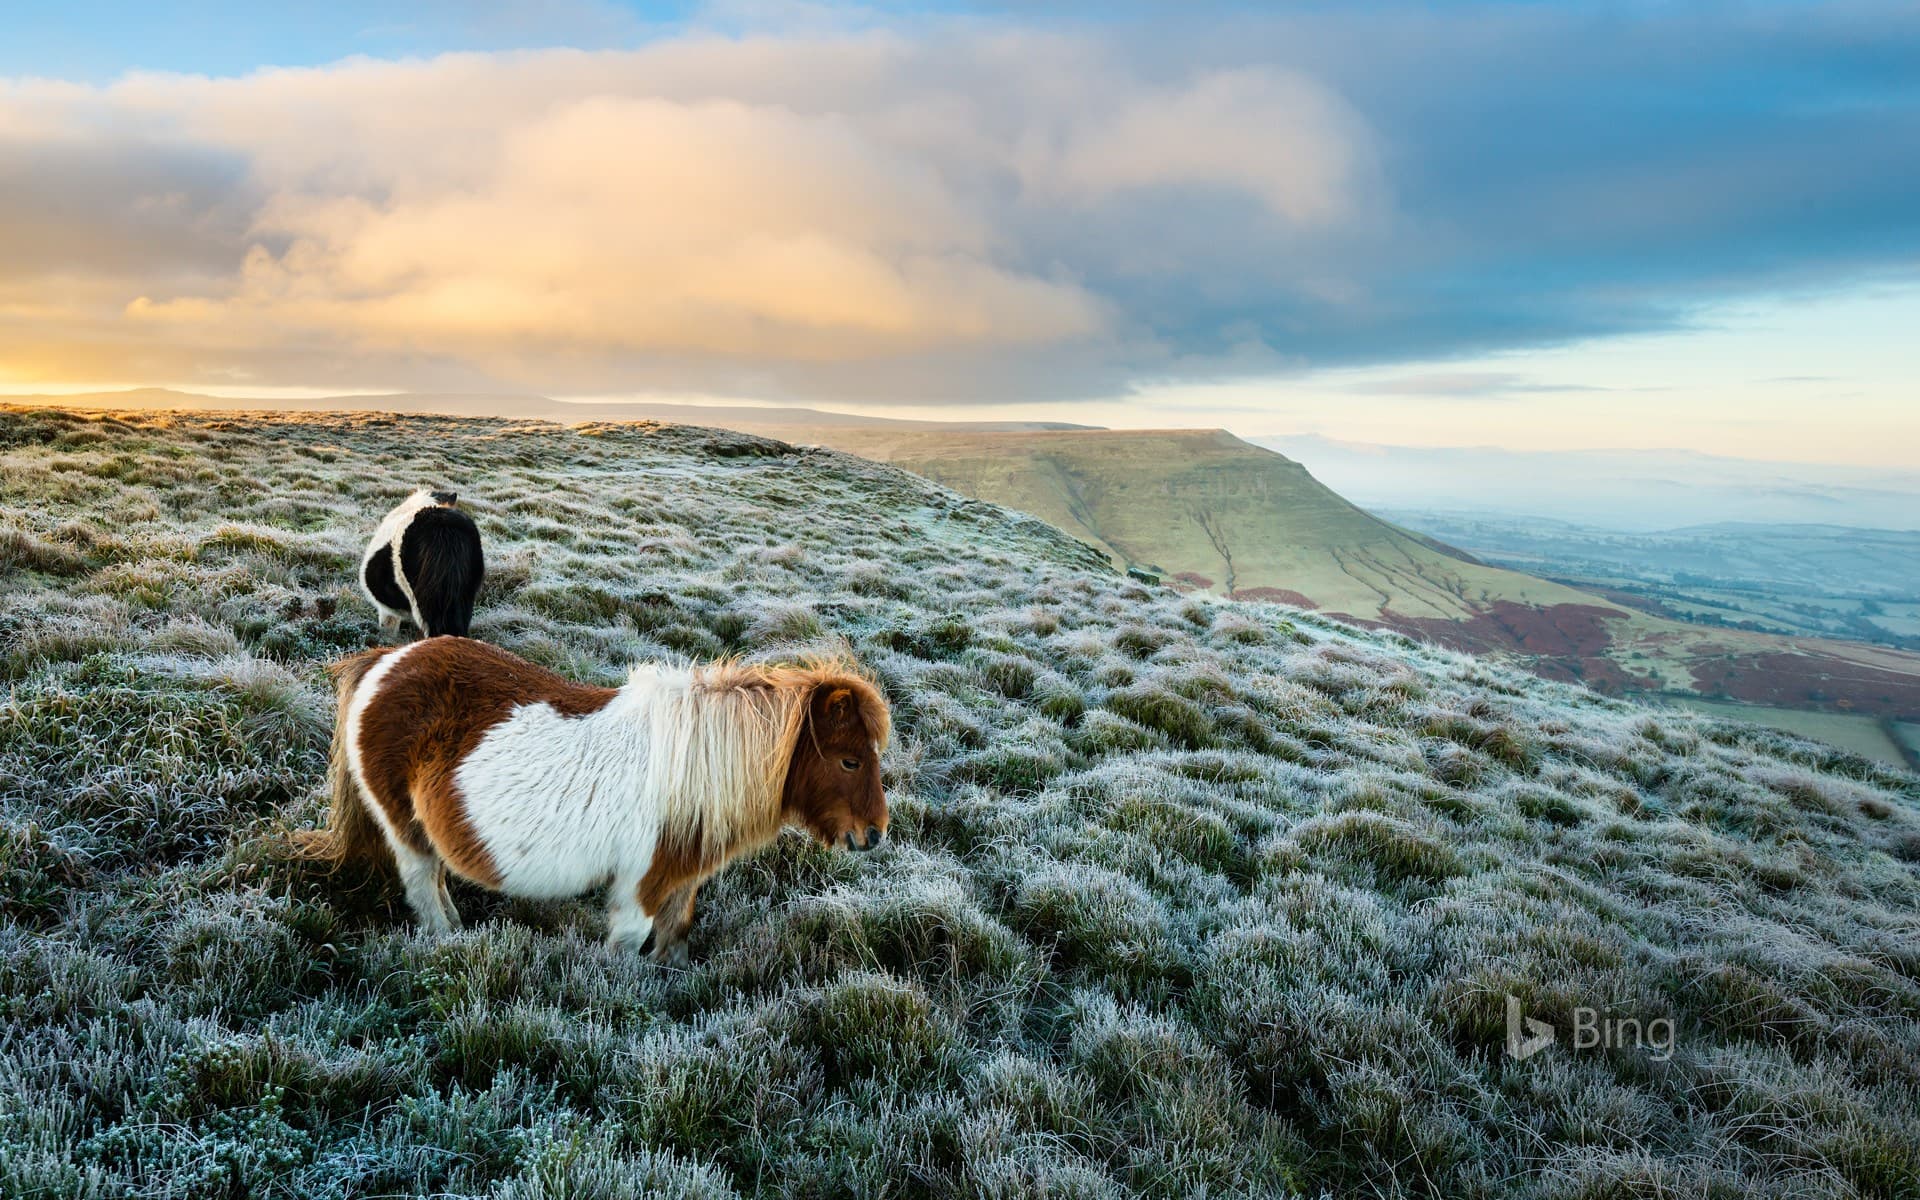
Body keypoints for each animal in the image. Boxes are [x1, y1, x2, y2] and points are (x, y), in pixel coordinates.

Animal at [297, 637, 890, 963]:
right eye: (850, 761)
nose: (875, 834)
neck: (695, 768)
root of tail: (385, 660)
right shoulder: (640, 885)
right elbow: (627, 949)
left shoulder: (682, 878)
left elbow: (676, 940)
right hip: (405, 829)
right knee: (423, 887)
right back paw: (450, 944)